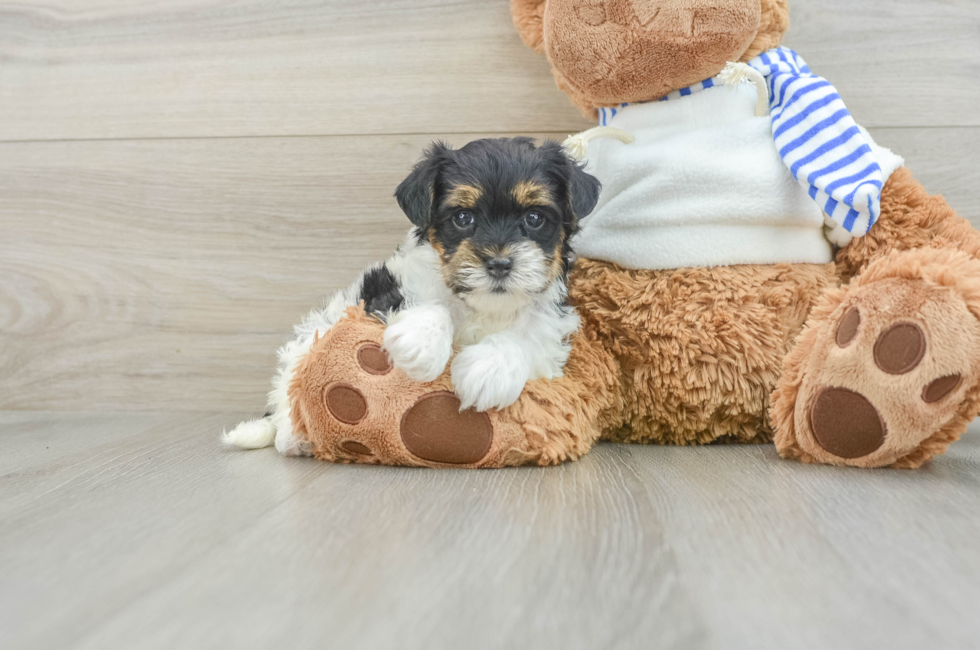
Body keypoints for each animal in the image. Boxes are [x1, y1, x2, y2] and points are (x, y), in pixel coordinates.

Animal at [225, 138, 600, 450]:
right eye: (463, 217)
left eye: (535, 217)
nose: (498, 263)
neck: (486, 305)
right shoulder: (386, 293)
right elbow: (429, 305)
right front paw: (420, 346)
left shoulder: (551, 332)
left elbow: (526, 338)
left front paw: (488, 370)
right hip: (305, 346)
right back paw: (293, 436)